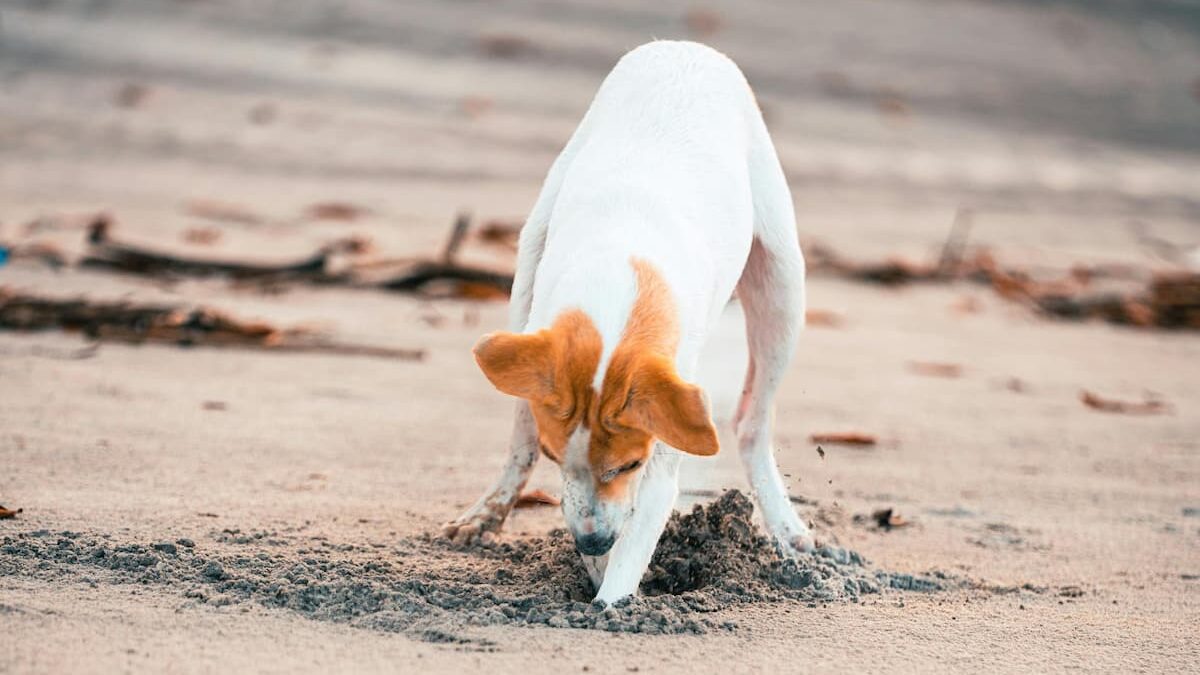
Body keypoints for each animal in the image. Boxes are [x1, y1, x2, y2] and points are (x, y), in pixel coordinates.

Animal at [441, 39, 816, 600]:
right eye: (557, 458)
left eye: (630, 463)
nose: (592, 541)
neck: (617, 279)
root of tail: (685, 46)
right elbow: (545, 459)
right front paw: (594, 569)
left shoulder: (662, 443)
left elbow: (634, 542)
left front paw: (610, 600)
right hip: (528, 265)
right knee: (519, 431)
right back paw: (486, 514)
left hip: (784, 288)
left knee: (753, 424)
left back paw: (787, 529)